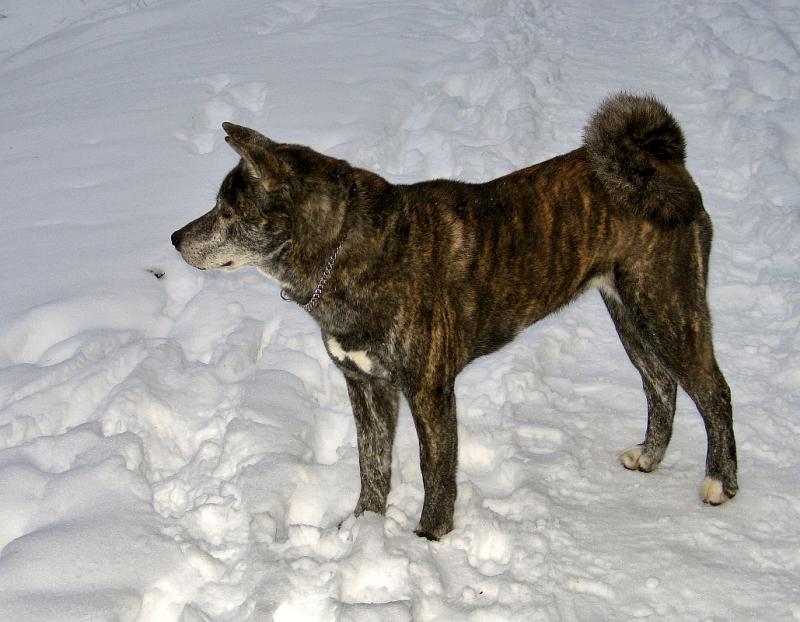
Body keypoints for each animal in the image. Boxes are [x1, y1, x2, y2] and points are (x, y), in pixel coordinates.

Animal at [172, 92, 740, 540]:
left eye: (227, 211)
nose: (175, 238)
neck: (347, 246)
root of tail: (661, 160)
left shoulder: (428, 389)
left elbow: (436, 471)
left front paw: (429, 537)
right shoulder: (366, 384)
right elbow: (372, 466)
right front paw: (363, 530)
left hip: (668, 306)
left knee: (713, 390)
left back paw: (721, 482)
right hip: (629, 313)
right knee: (660, 385)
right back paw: (649, 457)